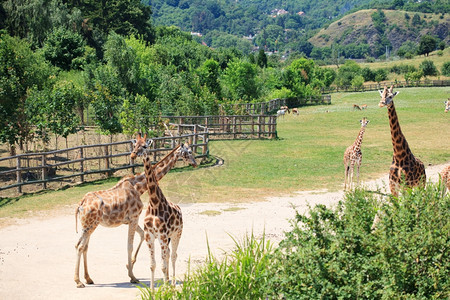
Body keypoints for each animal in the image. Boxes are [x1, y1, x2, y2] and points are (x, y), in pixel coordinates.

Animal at [131, 135, 184, 290]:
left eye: (145, 146)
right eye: (135, 145)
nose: (133, 155)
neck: (154, 203)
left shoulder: (162, 236)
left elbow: (162, 265)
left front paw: (165, 290)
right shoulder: (150, 236)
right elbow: (153, 265)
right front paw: (153, 291)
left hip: (177, 234)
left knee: (173, 256)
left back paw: (172, 284)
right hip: (167, 238)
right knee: (168, 256)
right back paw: (168, 282)